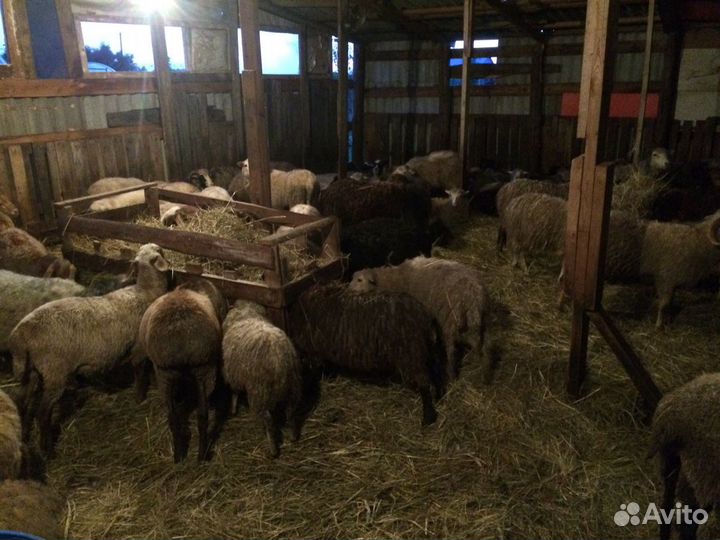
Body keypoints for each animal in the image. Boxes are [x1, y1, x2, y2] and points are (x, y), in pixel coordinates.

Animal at [9, 243, 171, 456]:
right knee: (42, 413)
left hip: (34, 370)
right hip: (55, 372)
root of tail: (21, 334)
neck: (145, 291)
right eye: (160, 251)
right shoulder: (139, 348)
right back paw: (47, 450)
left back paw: (25, 436)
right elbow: (140, 372)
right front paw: (140, 397)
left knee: (23, 402)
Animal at [136, 278, 227, 462]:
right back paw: (197, 455)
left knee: (178, 416)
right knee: (200, 415)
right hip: (201, 370)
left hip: (172, 373)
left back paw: (183, 455)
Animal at [220, 300, 305, 457]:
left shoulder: (231, 373)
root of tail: (278, 360)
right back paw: (293, 437)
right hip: (293, 387)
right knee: (292, 413)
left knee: (268, 421)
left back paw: (272, 449)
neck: (247, 313)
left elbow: (234, 392)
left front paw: (233, 409)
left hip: (260, 392)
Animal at [288, 283, 444, 426]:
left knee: (424, 384)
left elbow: (315, 370)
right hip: (426, 351)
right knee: (436, 372)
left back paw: (428, 418)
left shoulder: (314, 350)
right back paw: (439, 397)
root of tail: (425, 317)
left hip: (411, 355)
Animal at [350, 256, 499, 383]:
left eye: (360, 280)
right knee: (483, 346)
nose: (348, 289)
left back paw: (451, 376)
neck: (395, 280)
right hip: (481, 321)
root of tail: (474, 295)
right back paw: (484, 373)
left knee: (451, 350)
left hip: (449, 320)